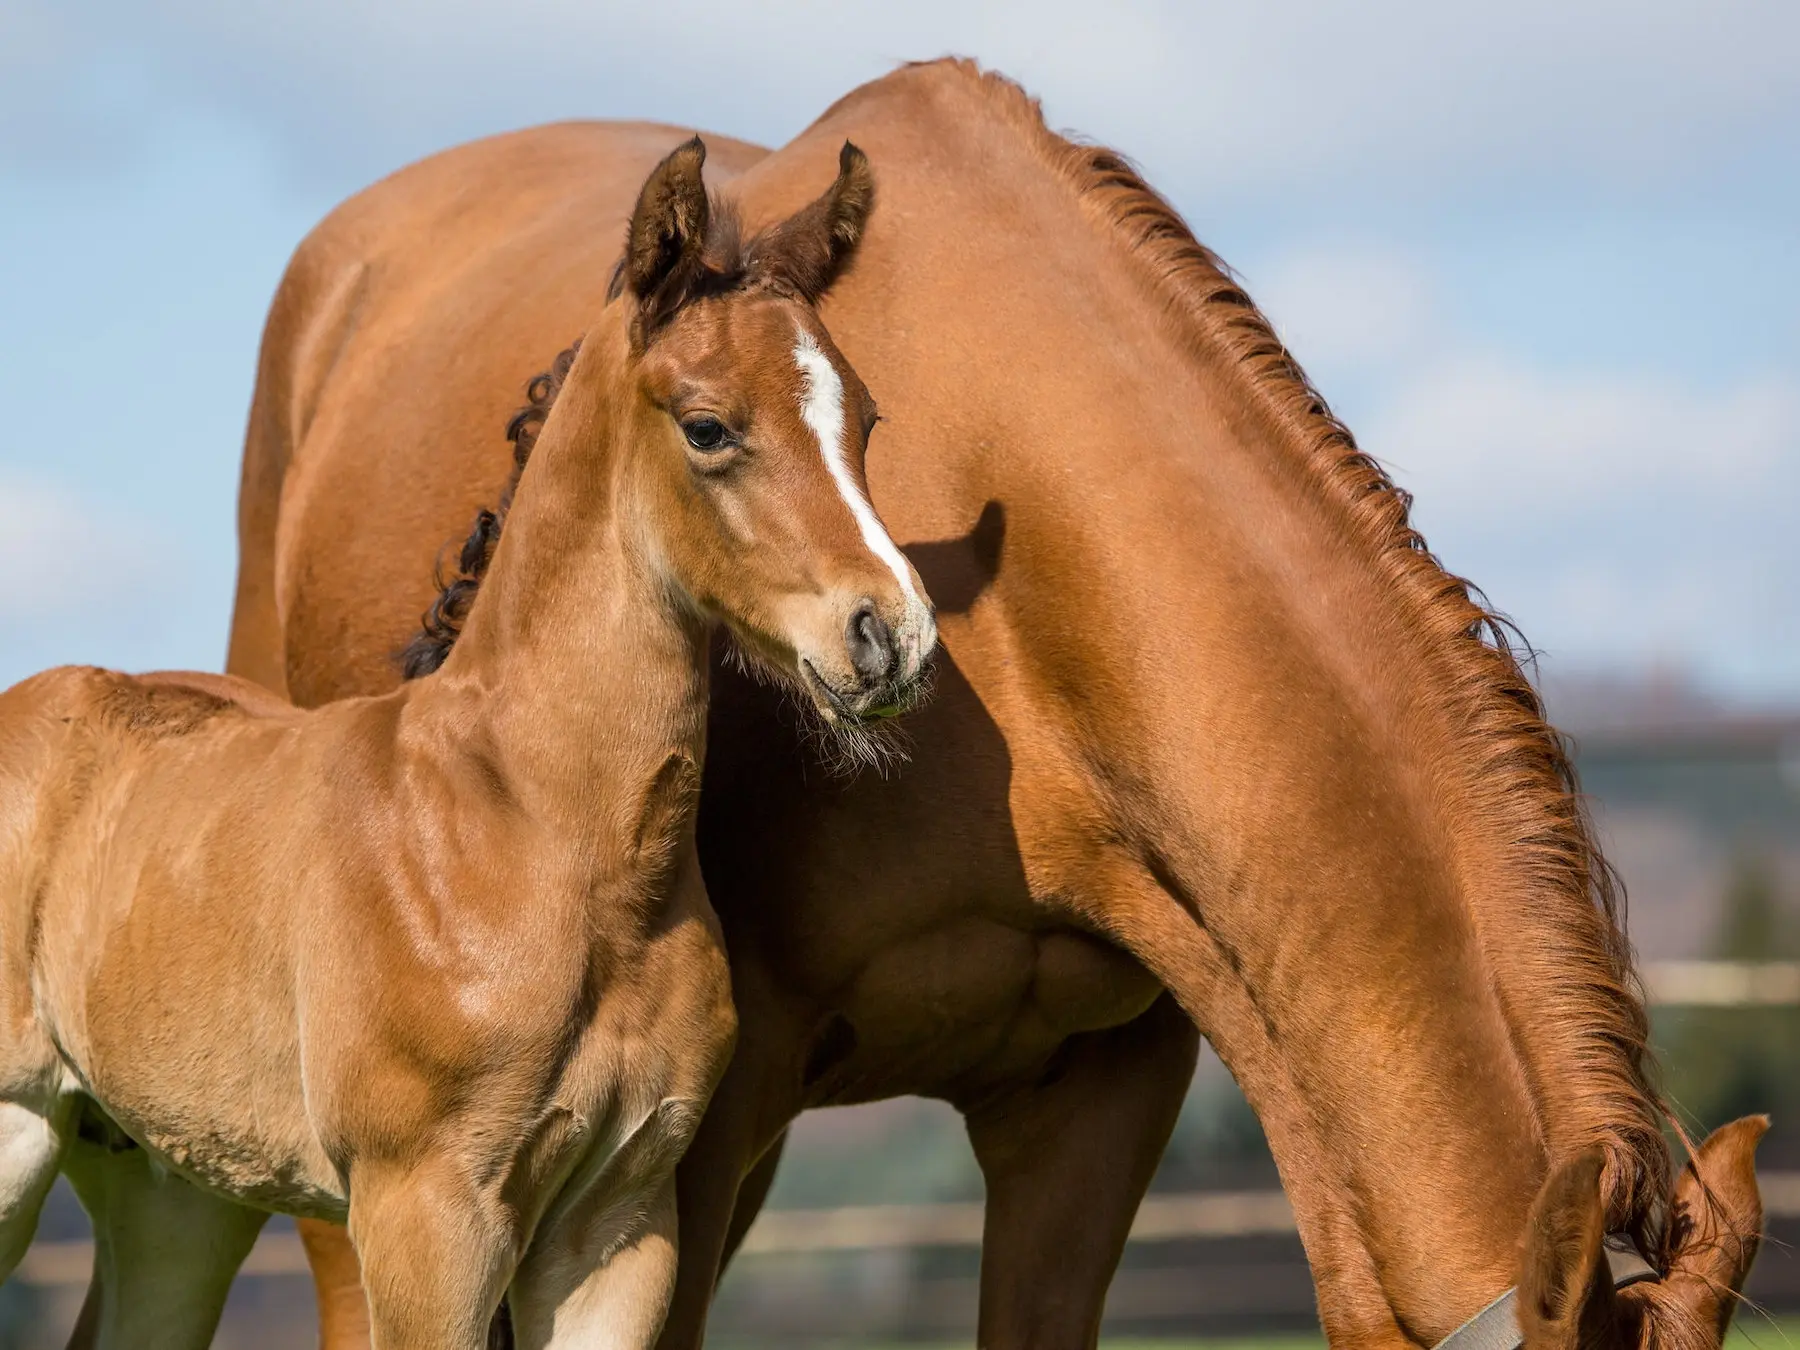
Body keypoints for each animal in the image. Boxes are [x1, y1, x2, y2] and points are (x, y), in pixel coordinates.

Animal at [0, 140, 928, 1350]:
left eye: (864, 419)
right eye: (708, 426)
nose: (892, 635)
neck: (539, 836)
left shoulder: (620, 1225)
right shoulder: (425, 1215)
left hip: (170, 1185)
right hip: (19, 1137)